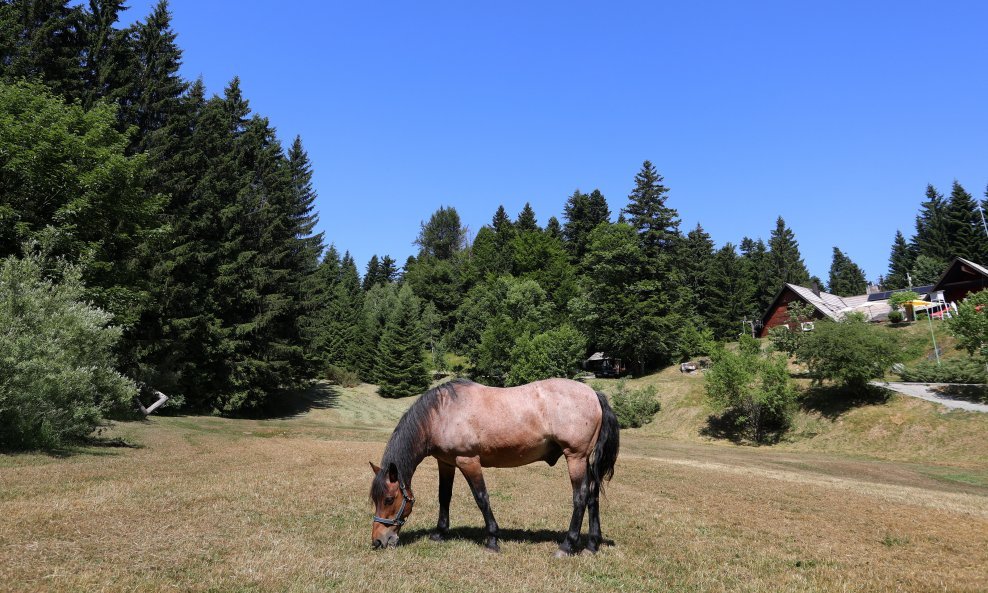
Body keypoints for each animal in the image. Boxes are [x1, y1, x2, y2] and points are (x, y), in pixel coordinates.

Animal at [370, 380, 616, 556]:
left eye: (389, 499)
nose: (378, 540)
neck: (441, 414)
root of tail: (594, 394)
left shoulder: (468, 460)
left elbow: (481, 498)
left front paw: (492, 540)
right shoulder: (447, 462)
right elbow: (444, 496)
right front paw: (439, 532)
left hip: (575, 457)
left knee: (581, 497)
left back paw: (566, 546)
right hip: (584, 461)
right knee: (593, 495)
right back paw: (592, 545)